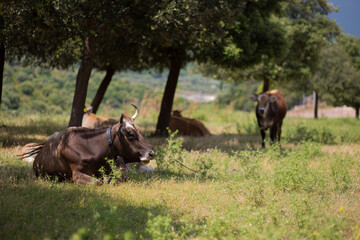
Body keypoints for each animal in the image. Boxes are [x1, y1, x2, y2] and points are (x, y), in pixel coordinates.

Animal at [22, 104, 155, 185]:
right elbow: (99, 182)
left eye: (140, 131)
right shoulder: (77, 174)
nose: (151, 153)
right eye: (130, 133)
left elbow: (126, 178)